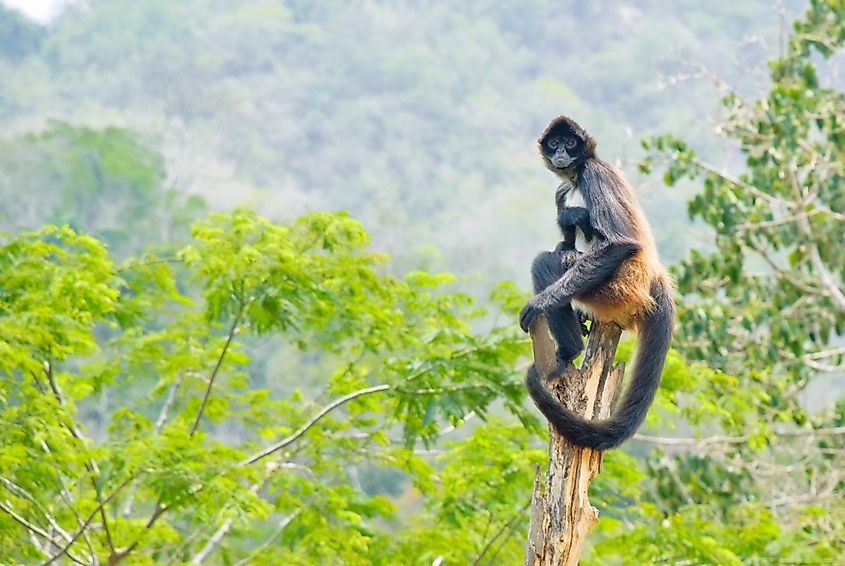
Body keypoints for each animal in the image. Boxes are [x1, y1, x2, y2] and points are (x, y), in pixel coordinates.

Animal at [519, 115, 675, 450]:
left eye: (570, 143)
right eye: (554, 143)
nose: (561, 152)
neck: (579, 172)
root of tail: (653, 275)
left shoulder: (593, 174)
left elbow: (619, 242)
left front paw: (540, 302)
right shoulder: (563, 189)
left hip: (613, 287)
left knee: (546, 262)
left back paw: (570, 349)